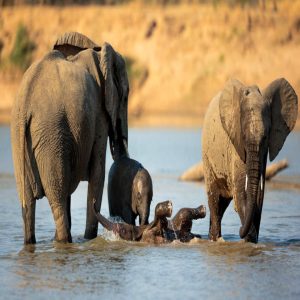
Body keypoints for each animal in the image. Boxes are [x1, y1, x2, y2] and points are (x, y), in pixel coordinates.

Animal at [10, 32, 130, 244]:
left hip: (22, 138)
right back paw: (65, 241)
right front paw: (90, 239)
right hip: (50, 133)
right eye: (126, 95)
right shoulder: (98, 113)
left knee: (28, 202)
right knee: (57, 197)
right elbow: (98, 172)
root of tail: (24, 103)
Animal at [202, 78, 298, 244]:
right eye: (244, 137)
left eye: (265, 137)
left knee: (221, 204)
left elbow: (259, 196)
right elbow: (242, 193)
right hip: (207, 158)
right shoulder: (235, 145)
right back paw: (215, 240)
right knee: (214, 200)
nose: (239, 230)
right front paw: (248, 241)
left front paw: (251, 241)